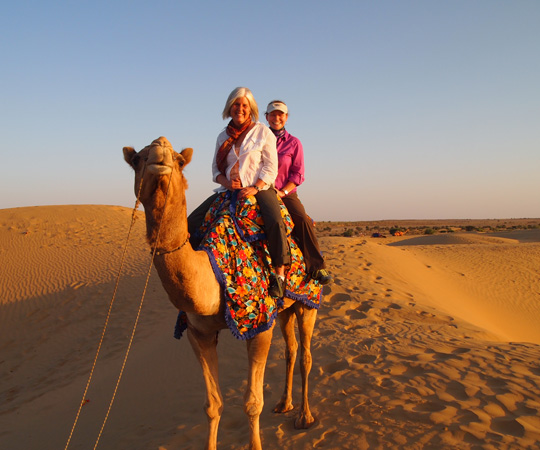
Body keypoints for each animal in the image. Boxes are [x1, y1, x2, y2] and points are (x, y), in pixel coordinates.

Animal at [124, 137, 318, 450]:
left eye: (179, 160)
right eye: (137, 159)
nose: (160, 154)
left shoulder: (258, 326)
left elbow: (252, 402)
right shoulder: (198, 333)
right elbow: (212, 405)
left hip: (308, 301)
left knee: (306, 356)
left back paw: (305, 417)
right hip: (286, 307)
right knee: (291, 349)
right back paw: (283, 404)